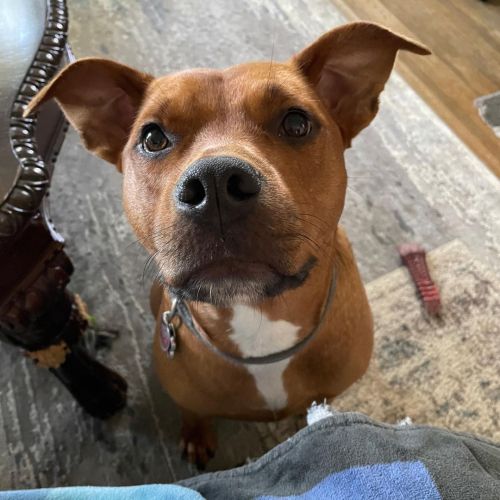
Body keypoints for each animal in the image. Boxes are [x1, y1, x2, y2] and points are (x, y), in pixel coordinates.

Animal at [26, 22, 430, 468]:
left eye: (296, 123)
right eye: (153, 137)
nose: (216, 182)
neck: (257, 317)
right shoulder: (188, 395)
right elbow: (194, 412)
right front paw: (196, 437)